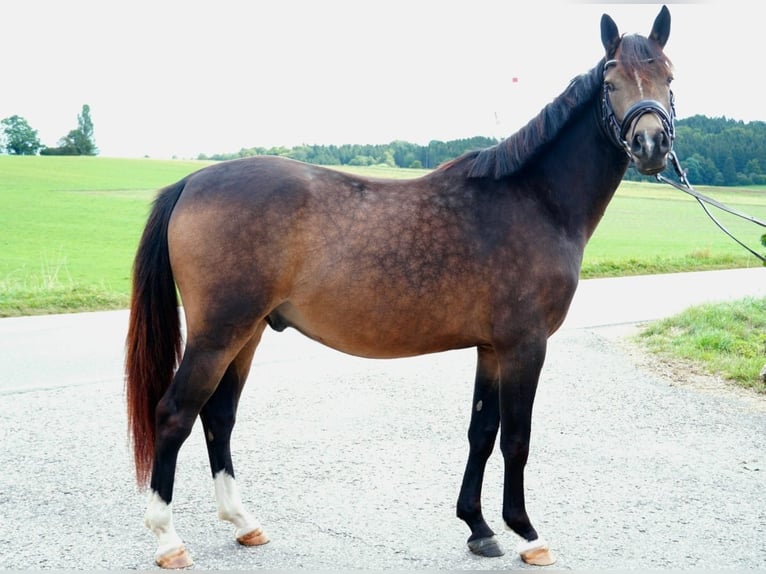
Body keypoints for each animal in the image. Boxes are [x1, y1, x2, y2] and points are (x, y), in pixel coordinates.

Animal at [126, 5, 680, 572]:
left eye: (669, 76)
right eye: (611, 82)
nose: (651, 144)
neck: (534, 199)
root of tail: (190, 183)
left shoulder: (490, 349)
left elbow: (482, 433)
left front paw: (478, 527)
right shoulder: (524, 346)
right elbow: (516, 439)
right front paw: (526, 533)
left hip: (248, 332)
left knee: (218, 415)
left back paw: (243, 523)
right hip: (218, 334)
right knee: (174, 415)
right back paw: (168, 539)